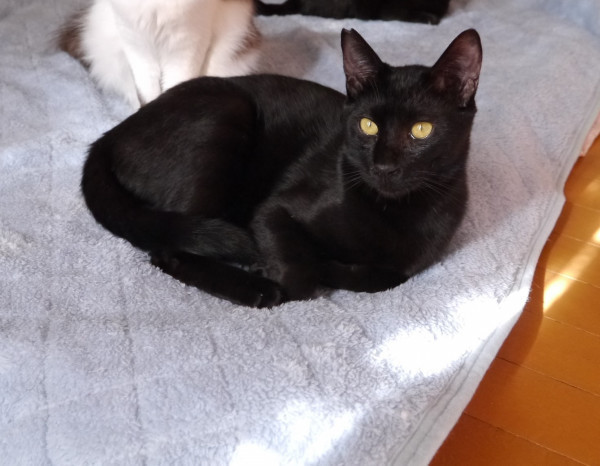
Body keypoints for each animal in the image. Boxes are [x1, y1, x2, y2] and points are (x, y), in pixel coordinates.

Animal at [81, 28, 482, 308]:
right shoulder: (275, 210)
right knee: (169, 249)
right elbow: (301, 281)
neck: (391, 212)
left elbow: (381, 278)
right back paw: (253, 288)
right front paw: (276, 271)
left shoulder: (409, 266)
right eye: (368, 125)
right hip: (225, 111)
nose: (383, 166)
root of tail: (108, 137)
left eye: (421, 130)